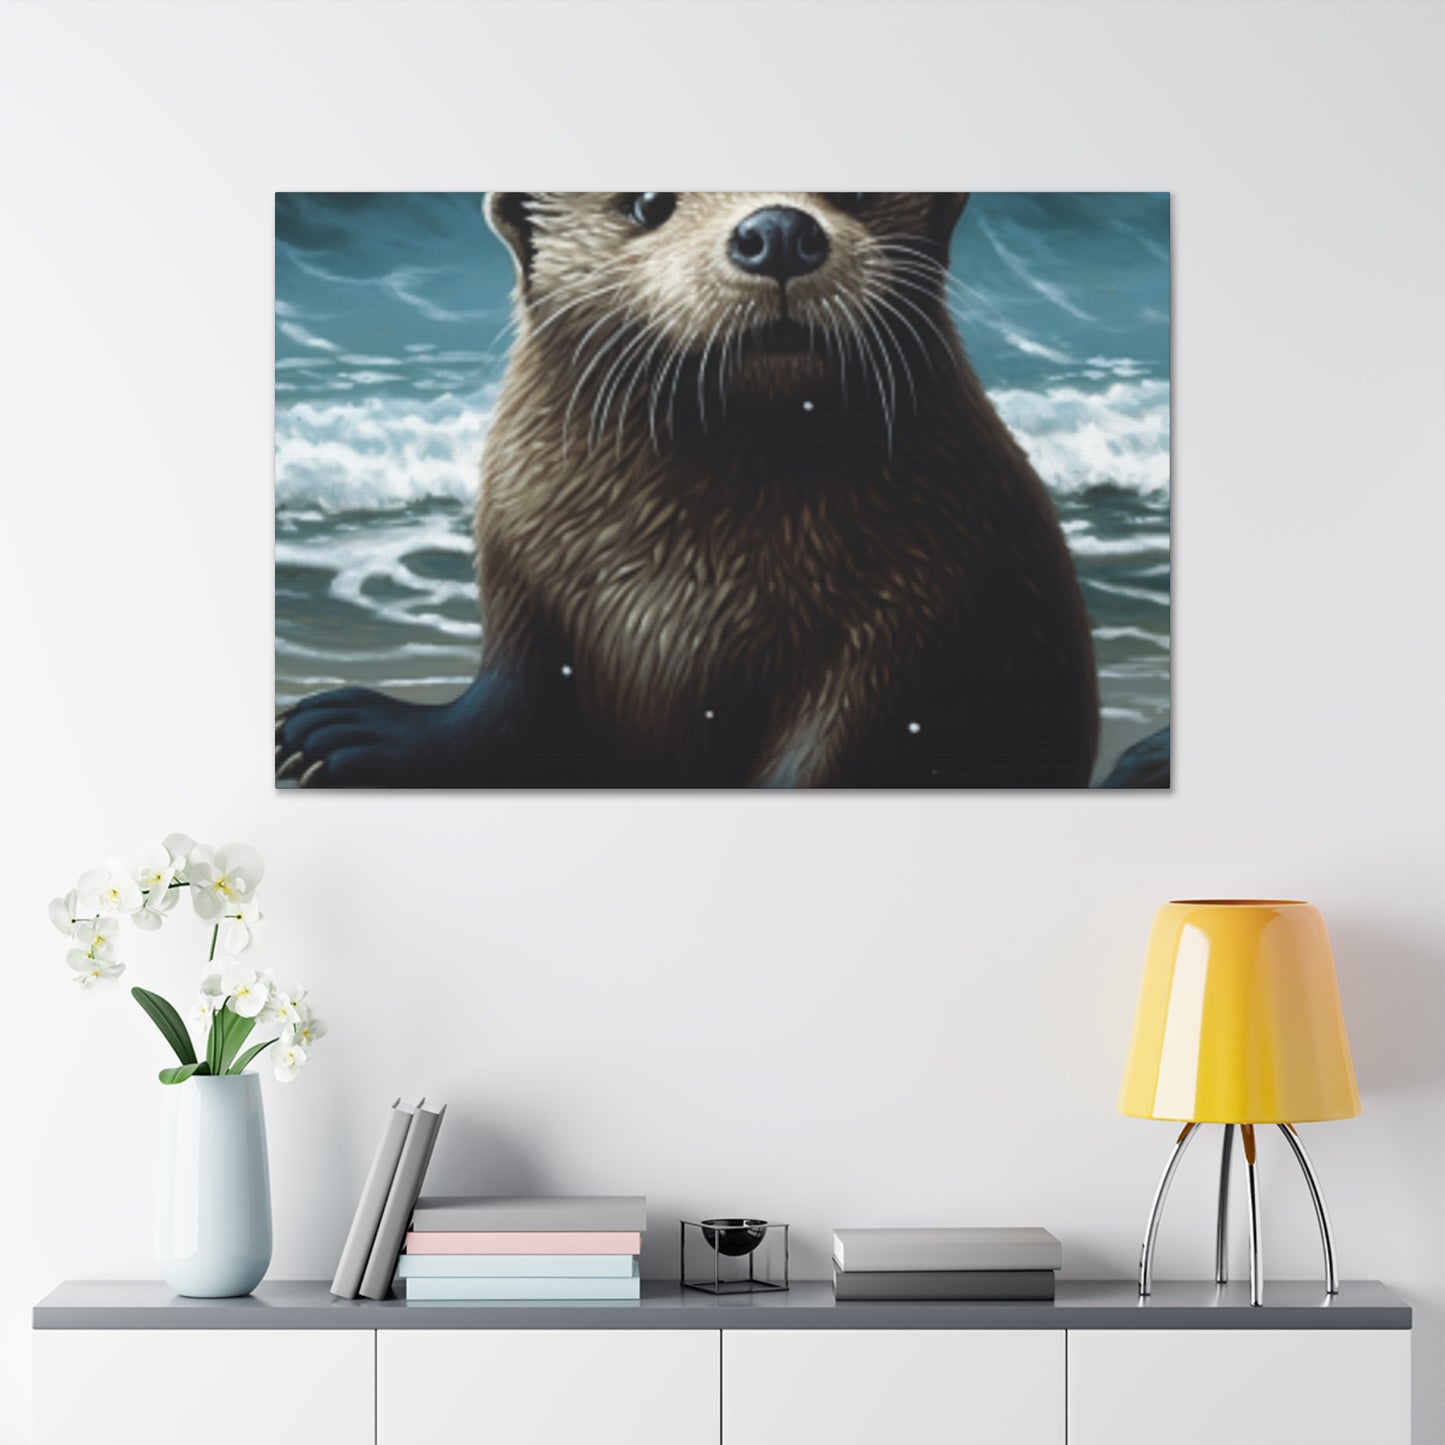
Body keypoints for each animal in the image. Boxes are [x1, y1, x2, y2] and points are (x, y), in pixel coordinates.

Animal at [277, 191, 1098, 787]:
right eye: (647, 203)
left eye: (857, 192)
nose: (778, 230)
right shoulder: (528, 582)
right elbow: (505, 706)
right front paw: (345, 732)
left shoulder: (916, 620)